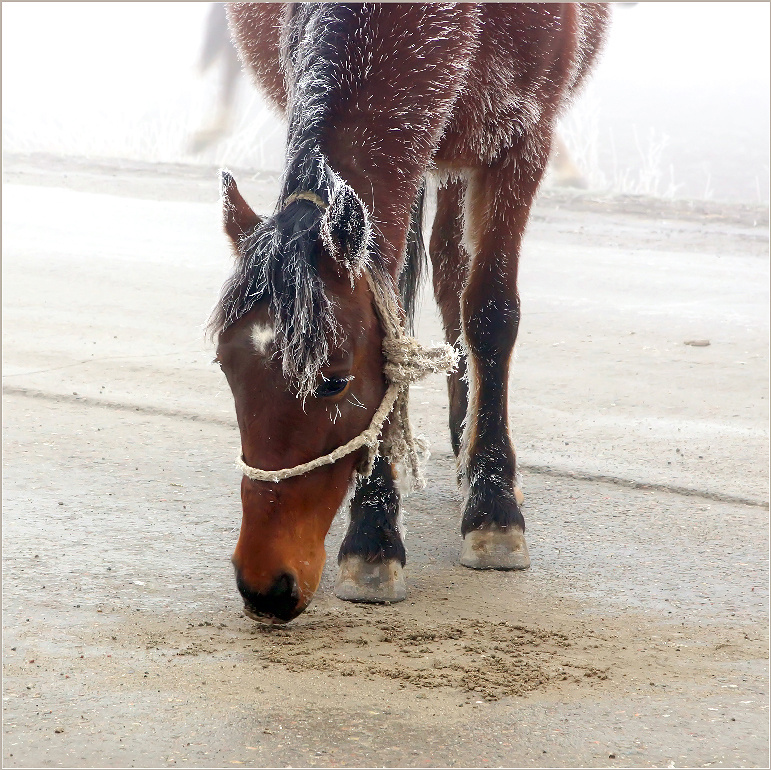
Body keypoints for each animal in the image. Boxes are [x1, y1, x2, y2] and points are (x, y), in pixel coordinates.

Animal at [209, 2, 610, 623]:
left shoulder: (522, 142)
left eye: (334, 380)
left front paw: (494, 507)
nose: (263, 585)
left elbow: (490, 313)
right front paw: (374, 534)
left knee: (455, 274)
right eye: (226, 367)